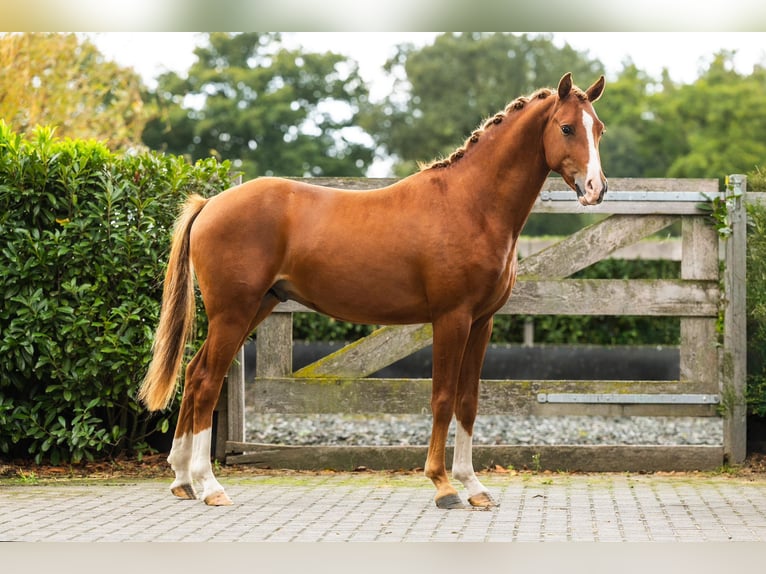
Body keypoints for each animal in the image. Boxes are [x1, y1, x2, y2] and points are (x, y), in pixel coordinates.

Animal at [139, 72, 607, 509]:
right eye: (567, 127)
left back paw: (182, 479)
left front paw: (474, 487)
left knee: (193, 373)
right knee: (206, 382)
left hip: (253, 308)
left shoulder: (482, 322)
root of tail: (209, 205)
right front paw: (443, 485)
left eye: (598, 128)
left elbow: (468, 402)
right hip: (233, 313)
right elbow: (442, 398)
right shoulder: (451, 318)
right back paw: (209, 485)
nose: (596, 189)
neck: (471, 204)